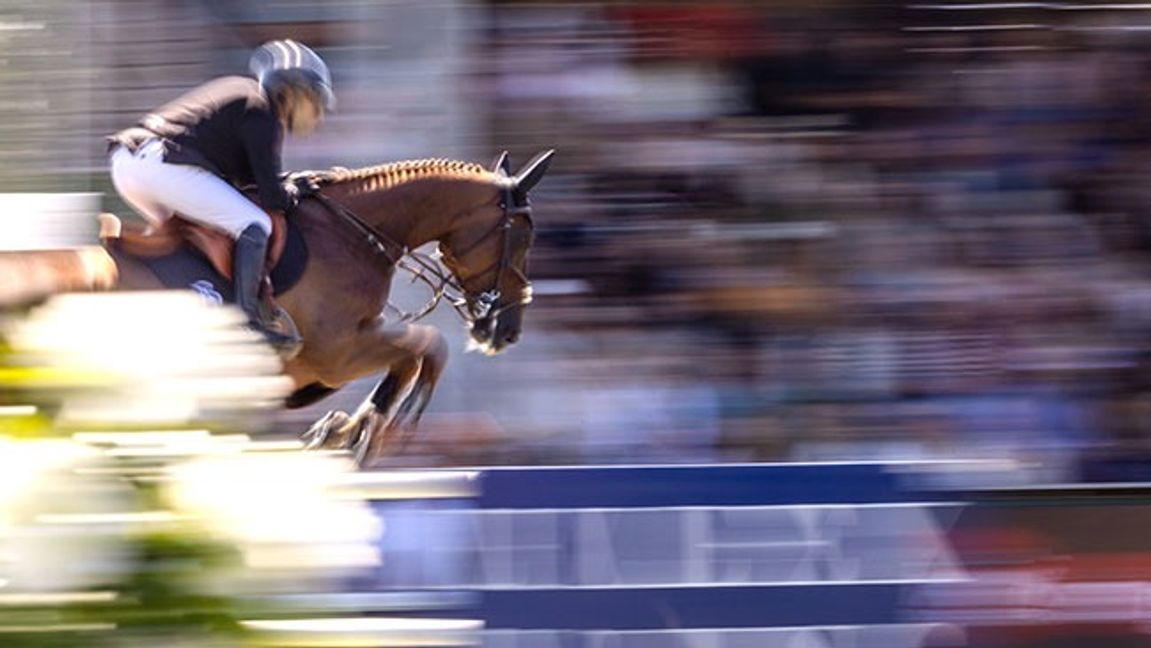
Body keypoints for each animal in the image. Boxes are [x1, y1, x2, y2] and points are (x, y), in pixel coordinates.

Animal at [0, 150, 554, 465]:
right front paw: (372, 431)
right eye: (524, 234)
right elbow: (428, 346)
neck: (354, 233)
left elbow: (409, 356)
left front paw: (344, 432)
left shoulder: (330, 361)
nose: (507, 329)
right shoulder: (337, 354)